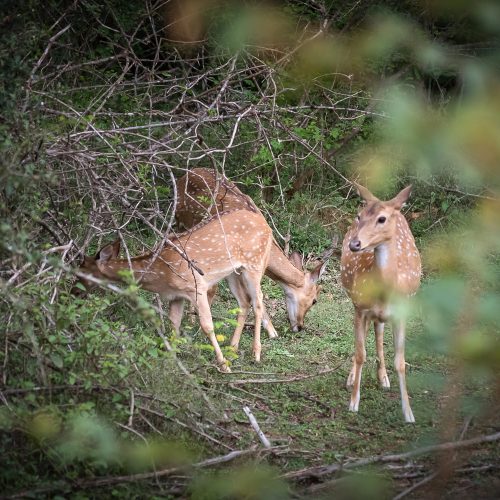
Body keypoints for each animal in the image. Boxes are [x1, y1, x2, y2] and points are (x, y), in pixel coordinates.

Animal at [72, 210, 274, 372]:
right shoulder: (176, 296)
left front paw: (223, 366)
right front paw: (171, 363)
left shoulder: (197, 286)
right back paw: (232, 348)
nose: (74, 292)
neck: (161, 275)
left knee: (258, 301)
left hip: (255, 263)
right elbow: (174, 325)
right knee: (244, 302)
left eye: (82, 272)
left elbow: (207, 326)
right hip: (233, 272)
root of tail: (266, 225)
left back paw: (255, 354)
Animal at [340, 184, 422, 422]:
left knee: (378, 330)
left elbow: (401, 362)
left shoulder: (401, 314)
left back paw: (383, 378)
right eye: (359, 216)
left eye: (382, 219)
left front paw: (408, 413)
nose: (355, 244)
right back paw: (353, 378)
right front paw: (353, 403)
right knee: (369, 334)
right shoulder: (360, 307)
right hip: (356, 302)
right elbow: (360, 354)